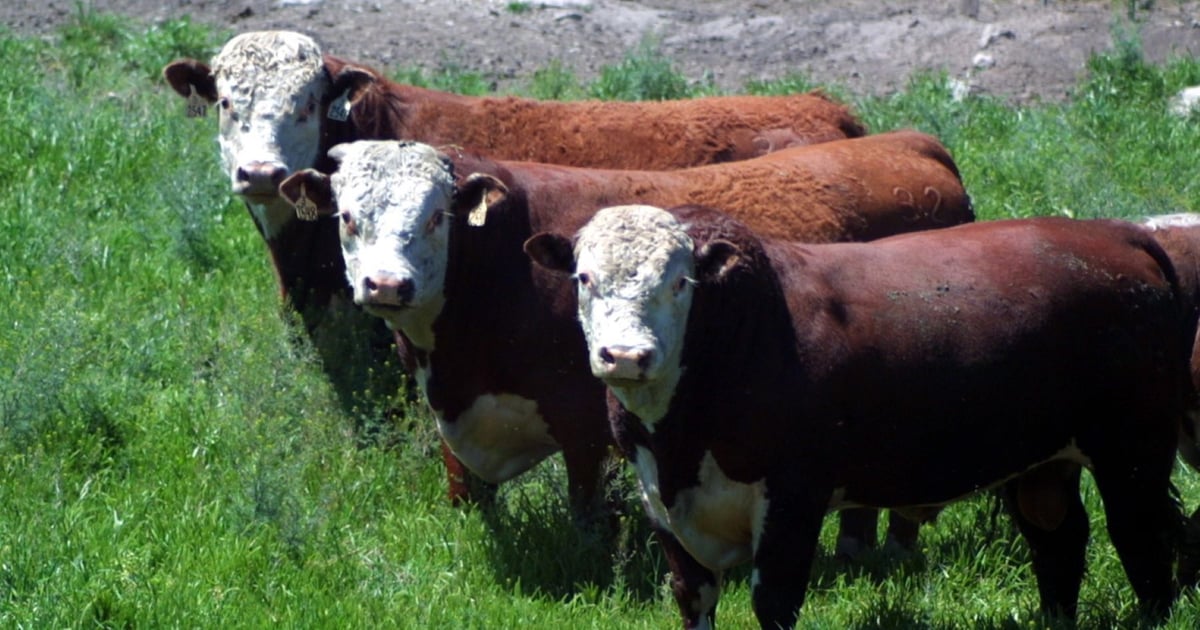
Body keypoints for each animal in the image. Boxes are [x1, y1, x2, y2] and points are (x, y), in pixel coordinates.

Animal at [276, 131, 973, 520]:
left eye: (434, 218)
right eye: (346, 217)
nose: (387, 285)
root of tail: (912, 143)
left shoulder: (583, 421)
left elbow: (585, 517)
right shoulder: (454, 416)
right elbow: (465, 498)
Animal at [525, 204, 1195, 628]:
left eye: (680, 283)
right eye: (584, 277)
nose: (626, 355)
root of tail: (1120, 236)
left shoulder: (793, 497)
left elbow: (774, 602)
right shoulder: (662, 505)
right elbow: (693, 599)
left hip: (1134, 447)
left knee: (1141, 536)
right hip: (1042, 459)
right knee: (1057, 537)